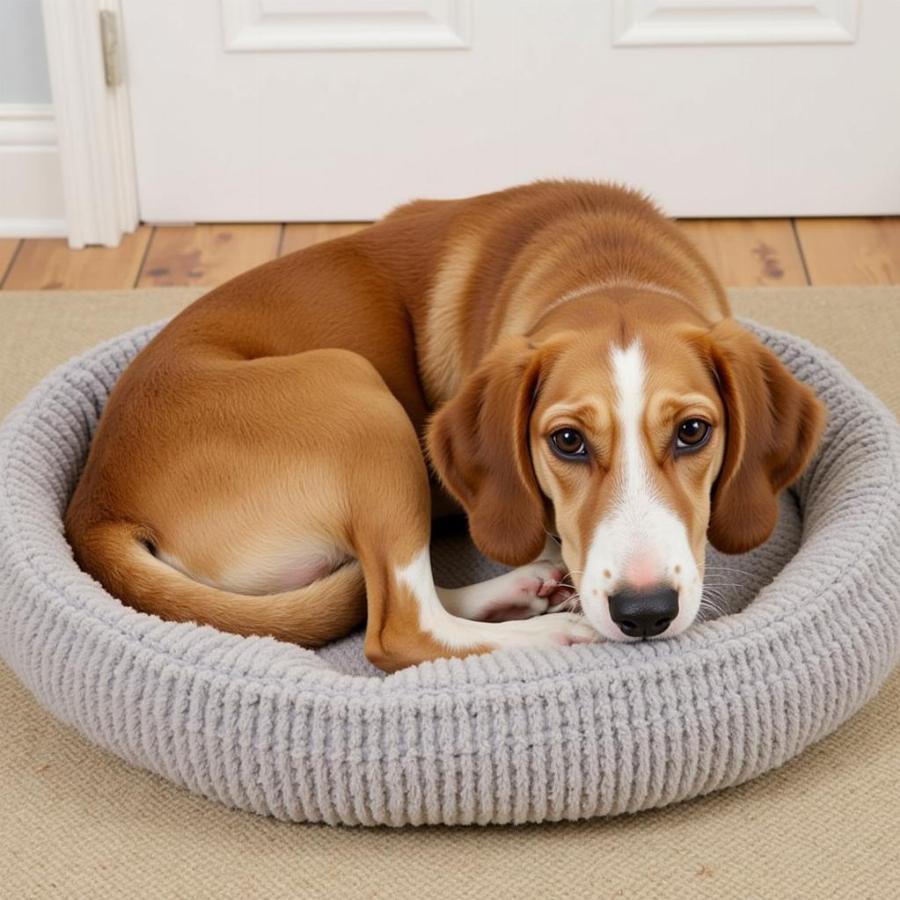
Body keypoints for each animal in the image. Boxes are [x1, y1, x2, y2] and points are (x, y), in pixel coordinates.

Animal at [61, 181, 824, 668]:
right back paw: (550, 634)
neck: (609, 262)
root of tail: (97, 500)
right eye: (568, 440)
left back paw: (518, 591)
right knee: (397, 624)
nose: (644, 613)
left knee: (386, 586)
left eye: (693, 432)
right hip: (362, 404)